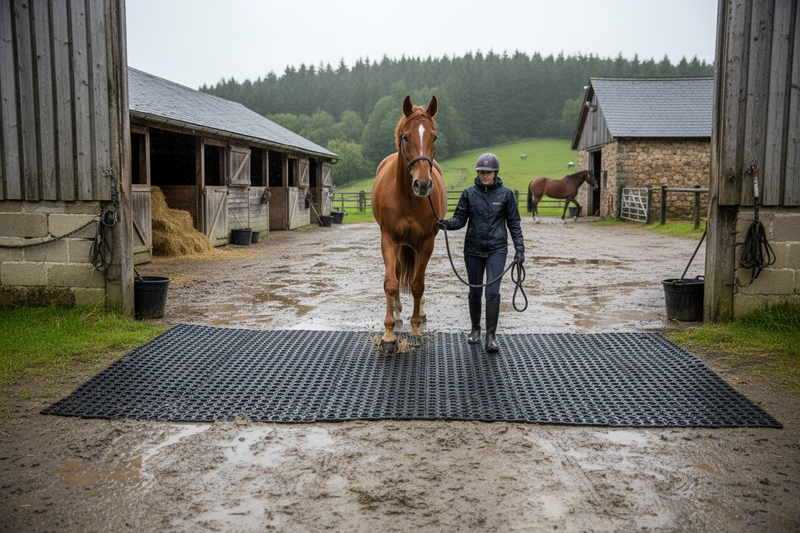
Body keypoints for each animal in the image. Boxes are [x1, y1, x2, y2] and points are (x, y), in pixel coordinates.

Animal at [371, 95, 447, 353]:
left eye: (434, 136)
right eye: (405, 137)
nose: (422, 184)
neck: (407, 197)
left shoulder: (426, 243)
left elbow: (417, 285)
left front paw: (415, 330)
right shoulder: (389, 240)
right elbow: (391, 283)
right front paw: (388, 335)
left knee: (417, 277)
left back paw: (419, 314)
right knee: (395, 273)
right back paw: (397, 313)